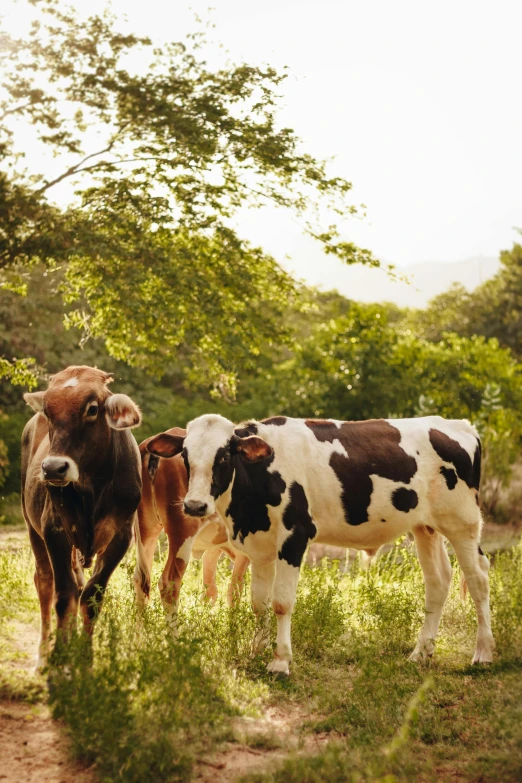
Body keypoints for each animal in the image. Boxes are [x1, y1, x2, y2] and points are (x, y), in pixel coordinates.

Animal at [22, 366, 141, 668]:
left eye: (92, 409)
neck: (92, 489)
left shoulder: (121, 537)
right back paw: (43, 655)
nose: (54, 468)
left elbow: (91, 597)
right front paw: (59, 657)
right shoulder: (54, 530)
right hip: (32, 527)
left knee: (77, 587)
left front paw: (85, 659)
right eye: (48, 411)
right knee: (45, 582)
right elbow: (64, 596)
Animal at [133, 426, 249, 628]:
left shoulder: (214, 548)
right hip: (182, 534)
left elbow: (210, 591)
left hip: (147, 530)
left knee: (140, 580)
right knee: (168, 583)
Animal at [145, 414, 492, 676]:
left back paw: (483, 653)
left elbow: (281, 602)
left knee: (478, 579)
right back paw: (421, 652)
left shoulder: (294, 537)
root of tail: (459, 425)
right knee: (438, 582)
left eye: (225, 455)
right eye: (186, 456)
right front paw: (257, 650)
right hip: (426, 527)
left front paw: (281, 661)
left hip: (463, 522)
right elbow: (258, 603)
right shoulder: (260, 546)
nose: (194, 505)